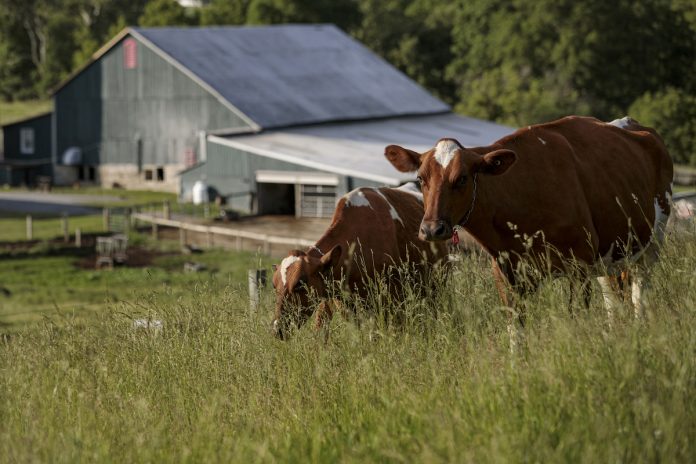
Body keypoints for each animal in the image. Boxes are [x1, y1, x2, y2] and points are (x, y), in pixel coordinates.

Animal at [384, 116, 673, 343]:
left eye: (462, 178)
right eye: (421, 178)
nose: (432, 229)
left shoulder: (578, 267)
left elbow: (577, 321)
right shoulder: (506, 274)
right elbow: (517, 334)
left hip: (651, 246)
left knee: (638, 296)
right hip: (608, 256)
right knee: (613, 299)